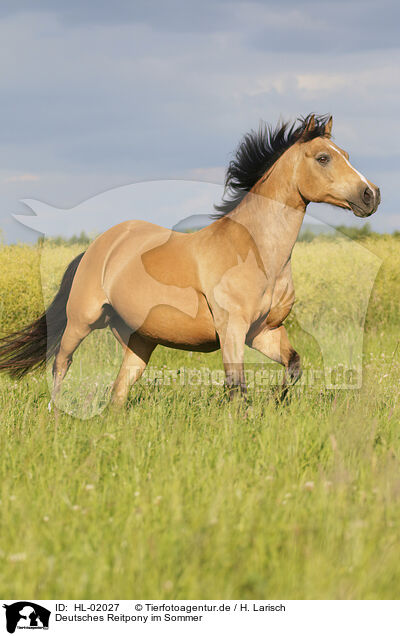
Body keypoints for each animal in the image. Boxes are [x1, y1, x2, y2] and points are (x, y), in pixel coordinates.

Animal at [0, 114, 378, 408]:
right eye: (323, 158)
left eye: (345, 154)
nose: (371, 195)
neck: (258, 253)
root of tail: (96, 248)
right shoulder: (232, 330)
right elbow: (237, 387)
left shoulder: (264, 331)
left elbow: (294, 365)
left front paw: (275, 401)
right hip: (82, 321)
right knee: (61, 364)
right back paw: (56, 415)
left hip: (139, 339)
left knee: (119, 391)